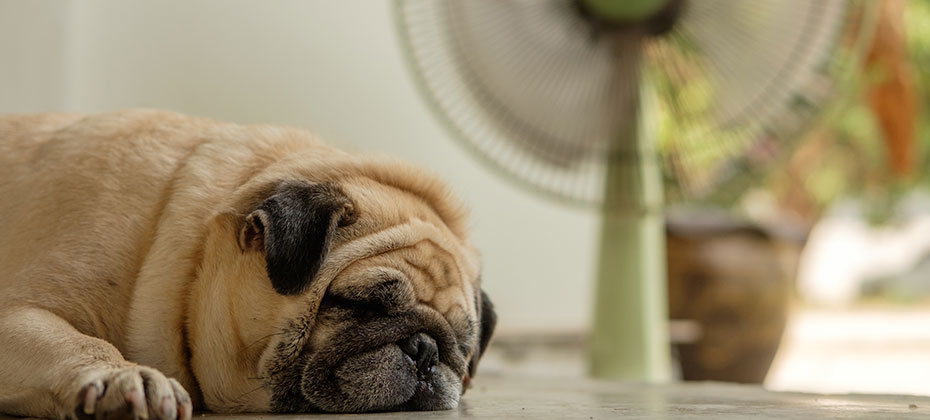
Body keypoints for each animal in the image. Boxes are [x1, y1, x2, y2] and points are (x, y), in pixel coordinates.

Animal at [0, 110, 492, 418]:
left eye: (463, 346)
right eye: (361, 305)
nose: (425, 349)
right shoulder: (20, 315)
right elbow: (82, 344)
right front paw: (125, 379)